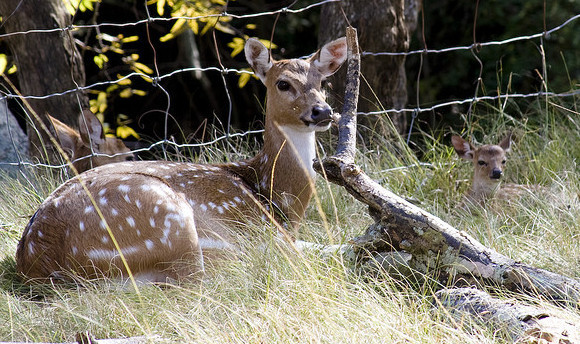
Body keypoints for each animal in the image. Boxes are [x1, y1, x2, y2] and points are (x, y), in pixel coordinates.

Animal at [15, 36, 346, 284]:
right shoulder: (263, 232)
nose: (323, 111)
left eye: (322, 82)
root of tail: (38, 264)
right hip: (168, 219)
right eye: (283, 84)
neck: (271, 193)